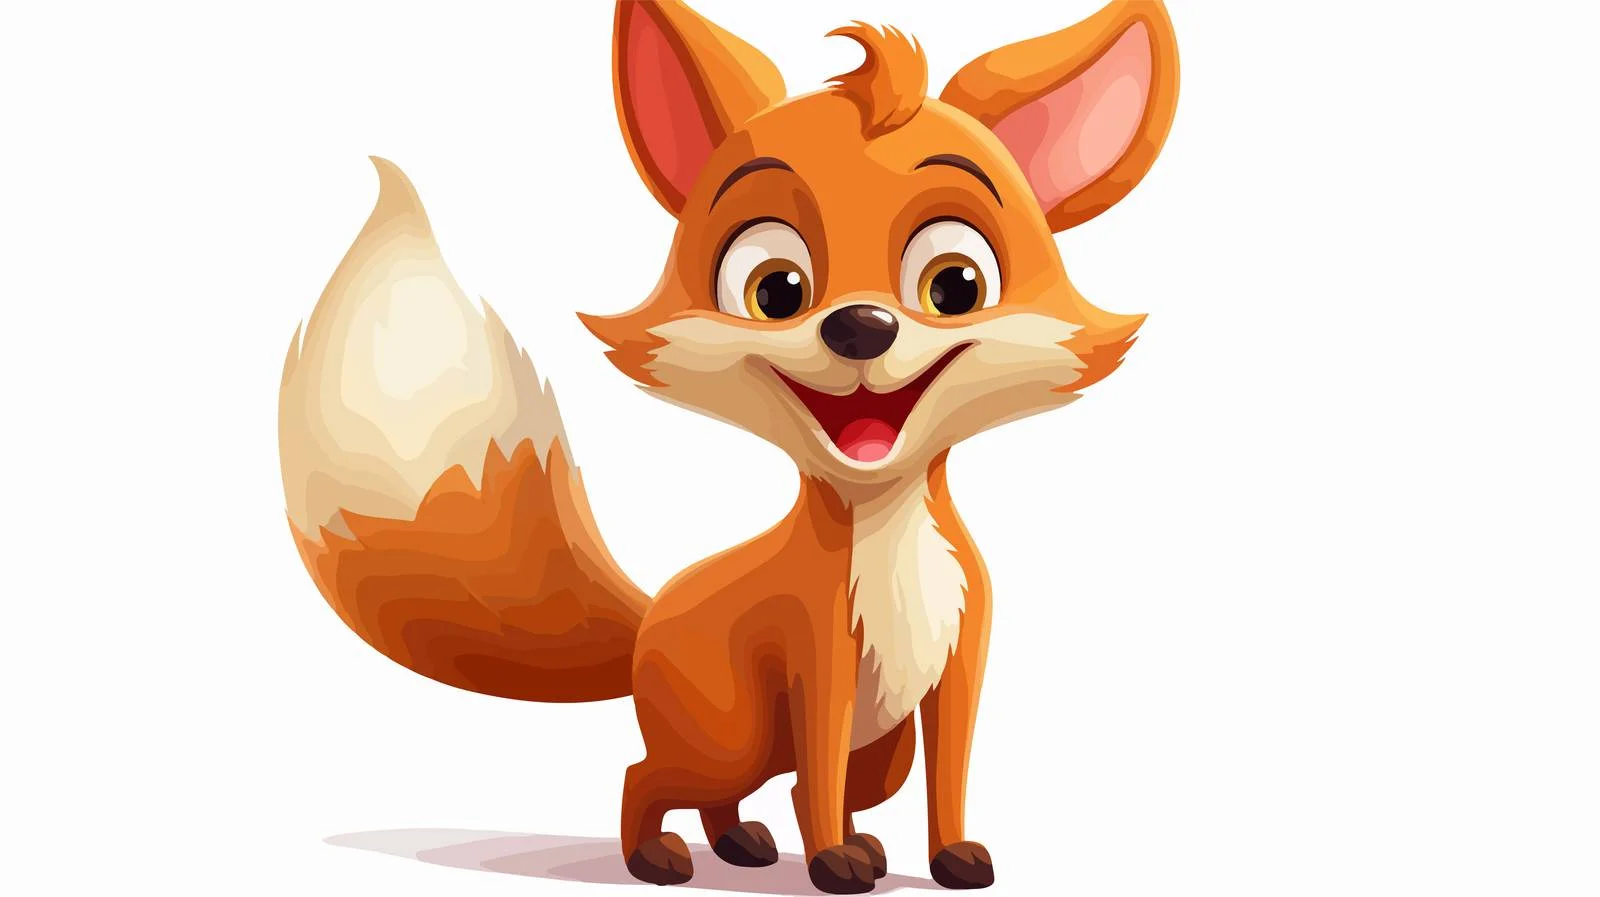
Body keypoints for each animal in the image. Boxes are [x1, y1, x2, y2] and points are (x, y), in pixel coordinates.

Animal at [278, 0, 1179, 892]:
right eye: (775, 289)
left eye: (957, 284)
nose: (860, 326)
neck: (888, 530)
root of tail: (651, 613)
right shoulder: (820, 664)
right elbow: (819, 772)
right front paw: (831, 864)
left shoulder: (958, 664)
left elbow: (944, 776)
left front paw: (949, 856)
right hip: (728, 732)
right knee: (652, 774)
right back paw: (660, 856)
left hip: (870, 751)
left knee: (779, 789)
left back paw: (755, 842)